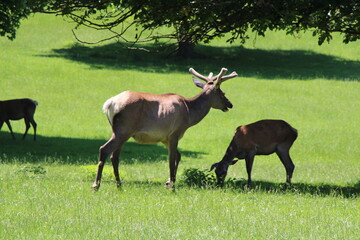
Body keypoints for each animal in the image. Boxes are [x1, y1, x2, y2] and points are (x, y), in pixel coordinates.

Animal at [92, 66, 239, 190]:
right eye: (222, 92)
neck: (189, 114)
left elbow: (178, 156)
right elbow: (171, 159)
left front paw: (169, 181)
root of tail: (109, 104)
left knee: (114, 156)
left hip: (120, 132)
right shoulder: (175, 133)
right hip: (123, 129)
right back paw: (96, 185)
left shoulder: (165, 138)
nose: (230, 104)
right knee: (104, 149)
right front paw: (172, 186)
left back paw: (119, 185)